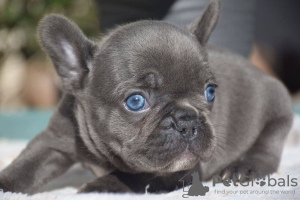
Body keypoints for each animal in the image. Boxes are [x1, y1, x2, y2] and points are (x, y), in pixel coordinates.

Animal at [0, 0, 292, 194]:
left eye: (210, 92)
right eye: (136, 101)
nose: (188, 121)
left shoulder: (177, 172)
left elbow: (132, 177)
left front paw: (97, 187)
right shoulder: (54, 138)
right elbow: (27, 164)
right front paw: (6, 184)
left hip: (279, 110)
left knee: (268, 148)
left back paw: (243, 168)